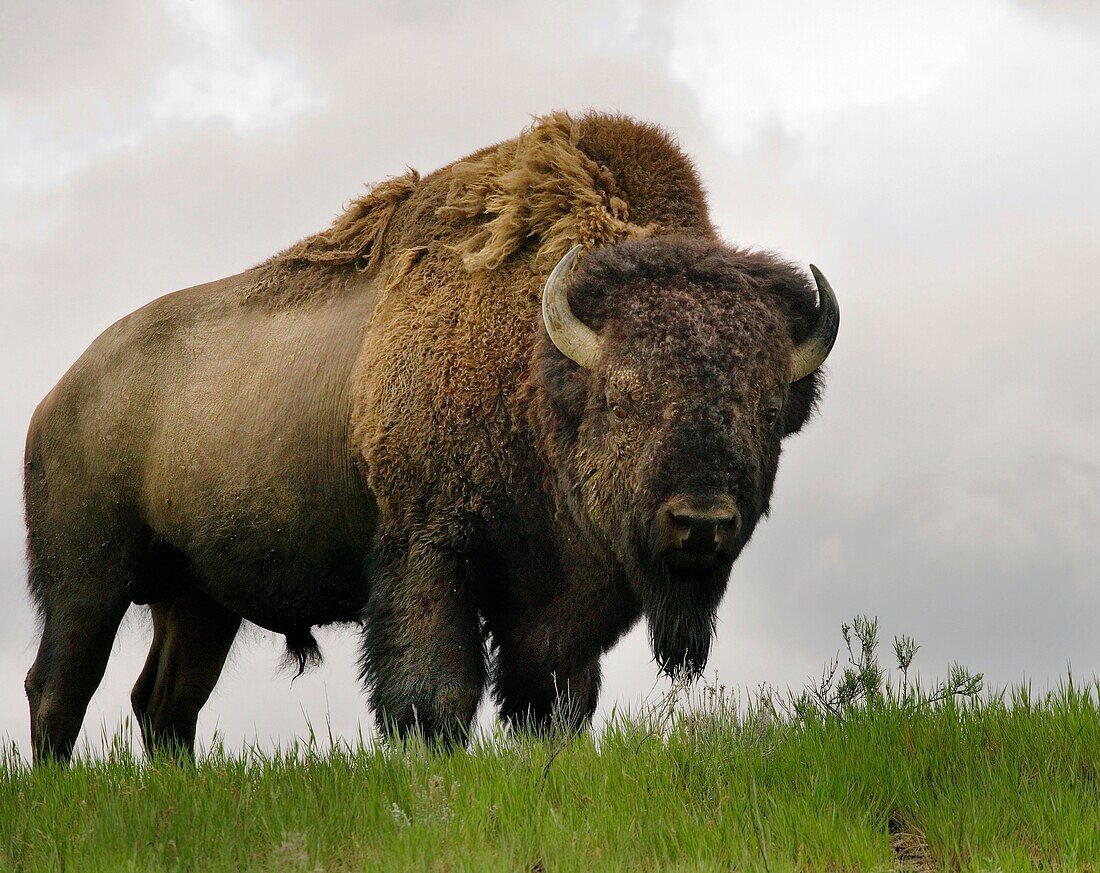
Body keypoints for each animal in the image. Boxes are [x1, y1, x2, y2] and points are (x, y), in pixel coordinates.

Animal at [23, 112, 831, 756]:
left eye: (766, 410)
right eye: (624, 397)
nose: (701, 523)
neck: (538, 366)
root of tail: (59, 394)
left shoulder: (551, 605)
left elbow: (559, 698)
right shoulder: (429, 552)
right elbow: (436, 692)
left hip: (198, 599)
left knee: (165, 703)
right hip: (87, 579)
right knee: (59, 687)